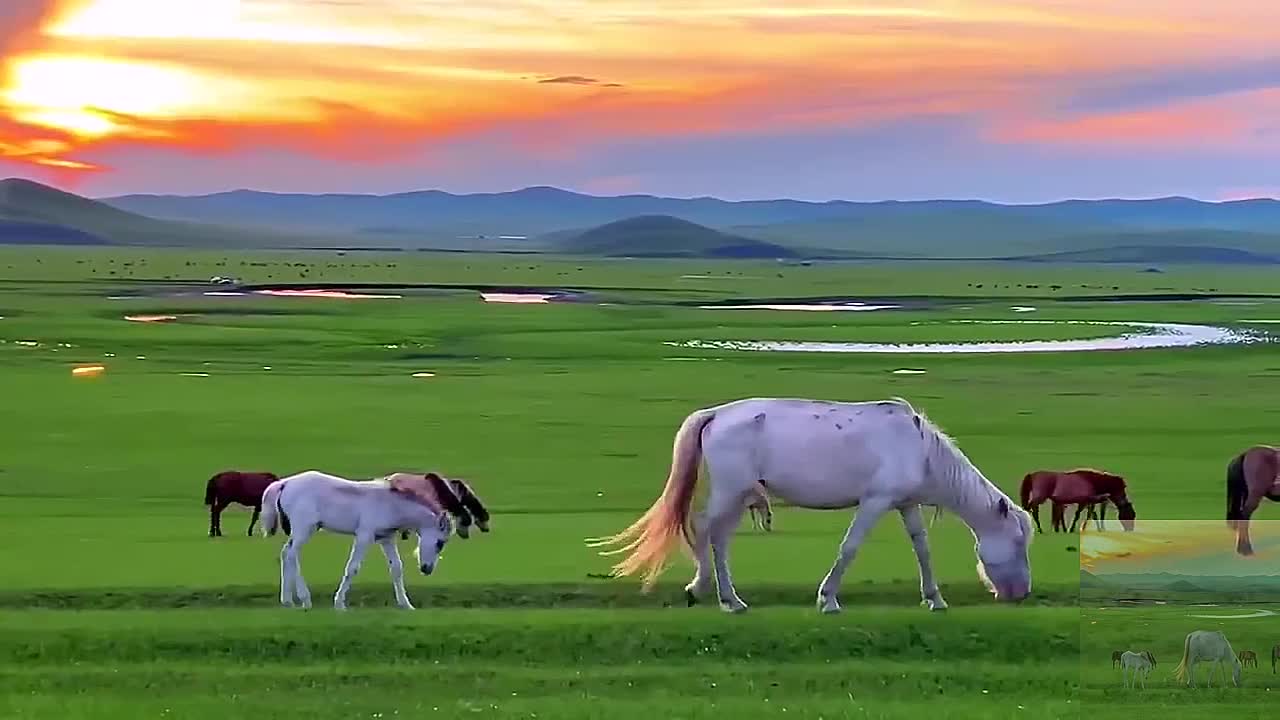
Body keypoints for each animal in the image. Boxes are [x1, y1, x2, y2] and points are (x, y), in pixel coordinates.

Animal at [257, 468, 458, 607]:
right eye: (440, 543)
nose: (427, 569)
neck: (391, 503)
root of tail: (285, 483)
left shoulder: (386, 538)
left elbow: (397, 568)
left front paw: (406, 604)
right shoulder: (364, 536)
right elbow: (352, 568)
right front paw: (339, 603)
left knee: (286, 553)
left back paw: (288, 600)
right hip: (304, 529)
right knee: (292, 554)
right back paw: (305, 599)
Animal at [586, 397, 1034, 609]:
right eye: (1017, 542)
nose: (1021, 593)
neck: (919, 449)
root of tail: (715, 414)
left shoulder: (904, 504)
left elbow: (921, 549)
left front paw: (934, 598)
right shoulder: (875, 502)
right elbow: (850, 547)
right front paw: (828, 598)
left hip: (740, 495)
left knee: (719, 536)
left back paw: (726, 596)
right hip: (731, 491)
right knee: (707, 532)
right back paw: (717, 595)